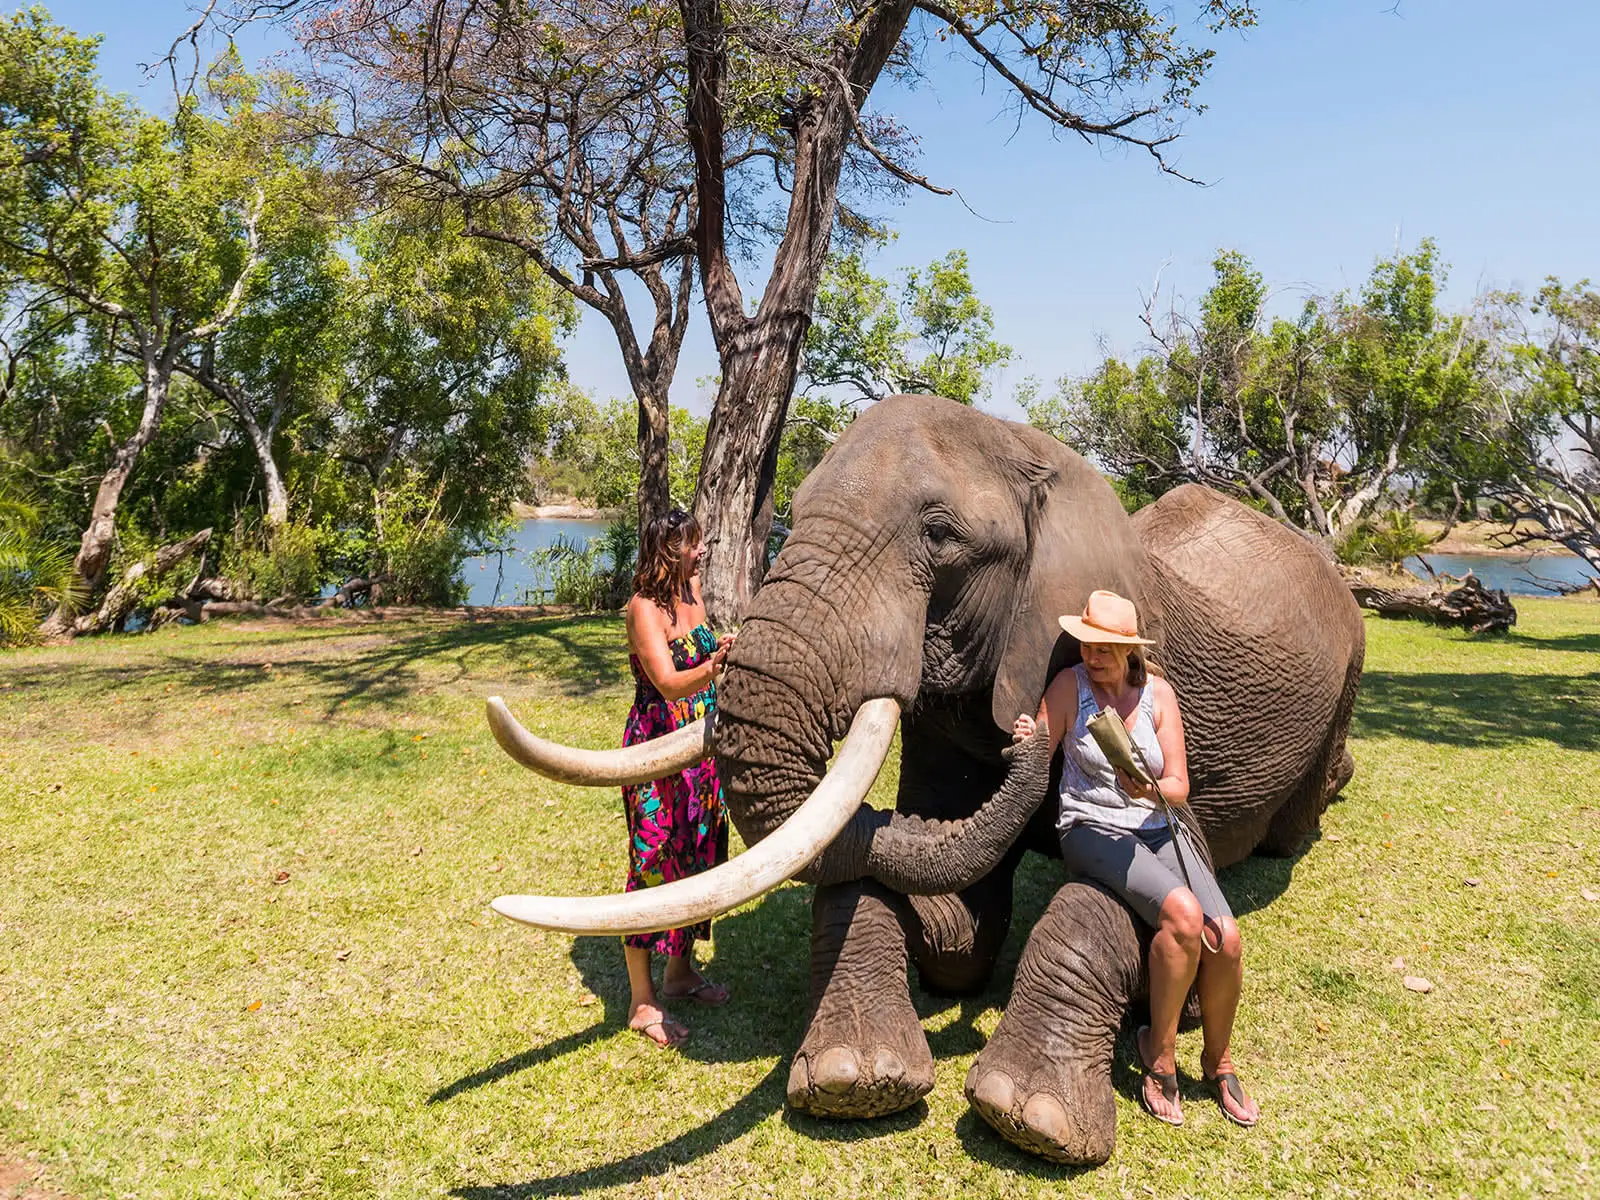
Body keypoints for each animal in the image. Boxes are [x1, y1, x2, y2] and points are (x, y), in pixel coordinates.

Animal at [485, 393, 1365, 1165]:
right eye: (794, 510)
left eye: (940, 536)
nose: (1033, 741)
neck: (1037, 457)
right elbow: (951, 924)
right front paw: (854, 1079)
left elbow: (1125, 903)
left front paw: (1033, 1118)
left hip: (1350, 666)